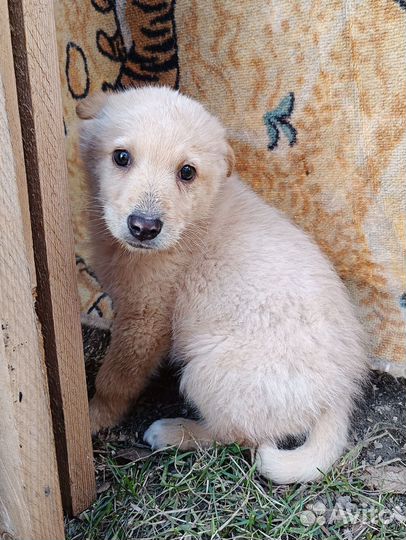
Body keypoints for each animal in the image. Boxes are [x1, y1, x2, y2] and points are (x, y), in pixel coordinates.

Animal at [77, 86, 370, 484]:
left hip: (208, 371)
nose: (144, 227)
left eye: (187, 172)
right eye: (121, 157)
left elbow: (116, 378)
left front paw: (92, 418)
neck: (193, 222)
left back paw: (172, 432)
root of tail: (338, 395)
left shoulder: (145, 319)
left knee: (237, 436)